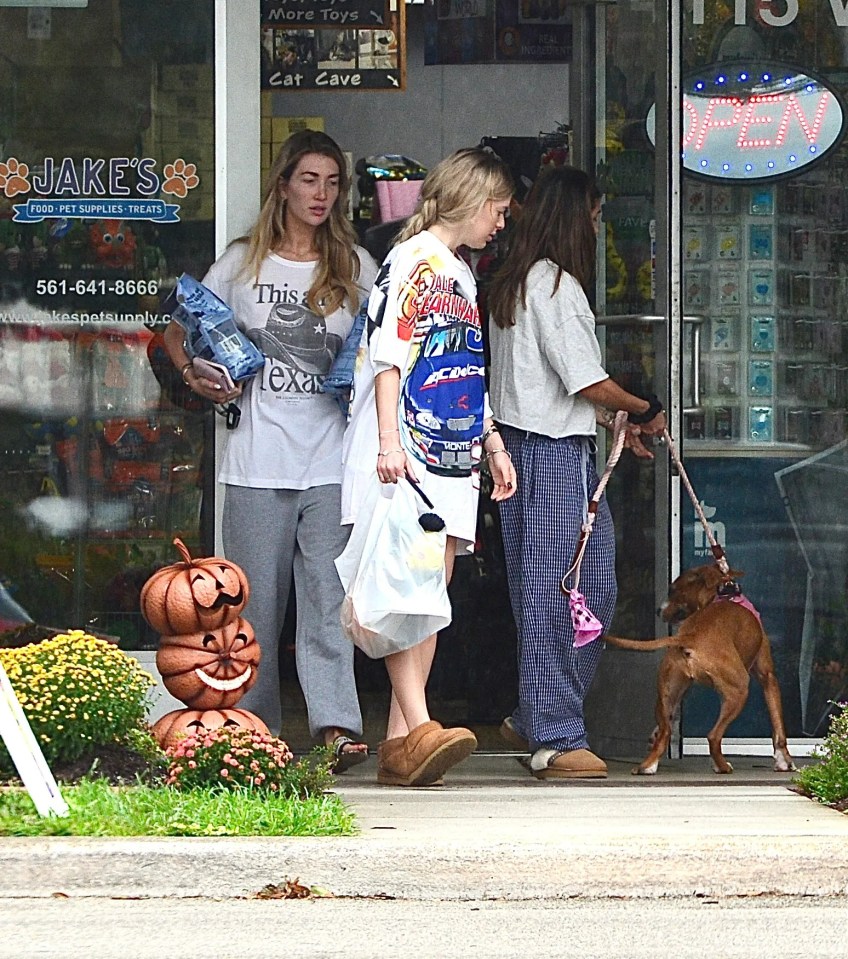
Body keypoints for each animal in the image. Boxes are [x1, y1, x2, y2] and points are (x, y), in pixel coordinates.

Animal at [604, 568, 796, 776]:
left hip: (668, 691)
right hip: (739, 689)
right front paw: (784, 761)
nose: (658, 610)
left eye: (673, 590)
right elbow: (778, 726)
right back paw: (722, 766)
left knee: (665, 732)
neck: (721, 595)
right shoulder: (768, 677)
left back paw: (646, 766)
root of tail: (691, 636)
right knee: (713, 736)